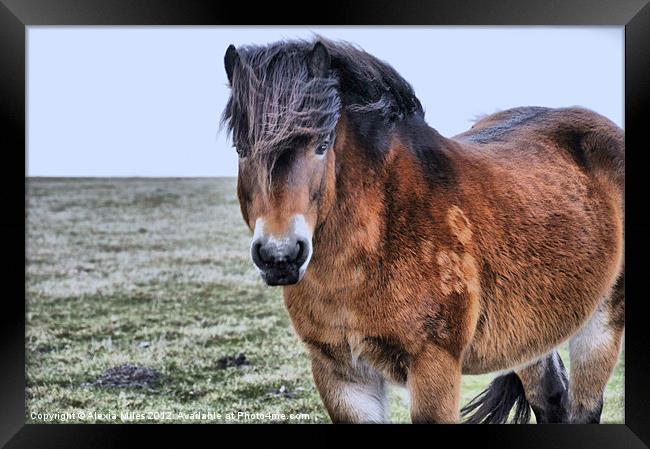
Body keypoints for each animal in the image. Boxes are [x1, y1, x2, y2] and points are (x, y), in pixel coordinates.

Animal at [219, 36, 624, 422]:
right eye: (241, 149)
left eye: (322, 145)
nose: (280, 256)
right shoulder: (340, 374)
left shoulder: (433, 365)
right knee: (550, 398)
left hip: (602, 322)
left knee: (584, 408)